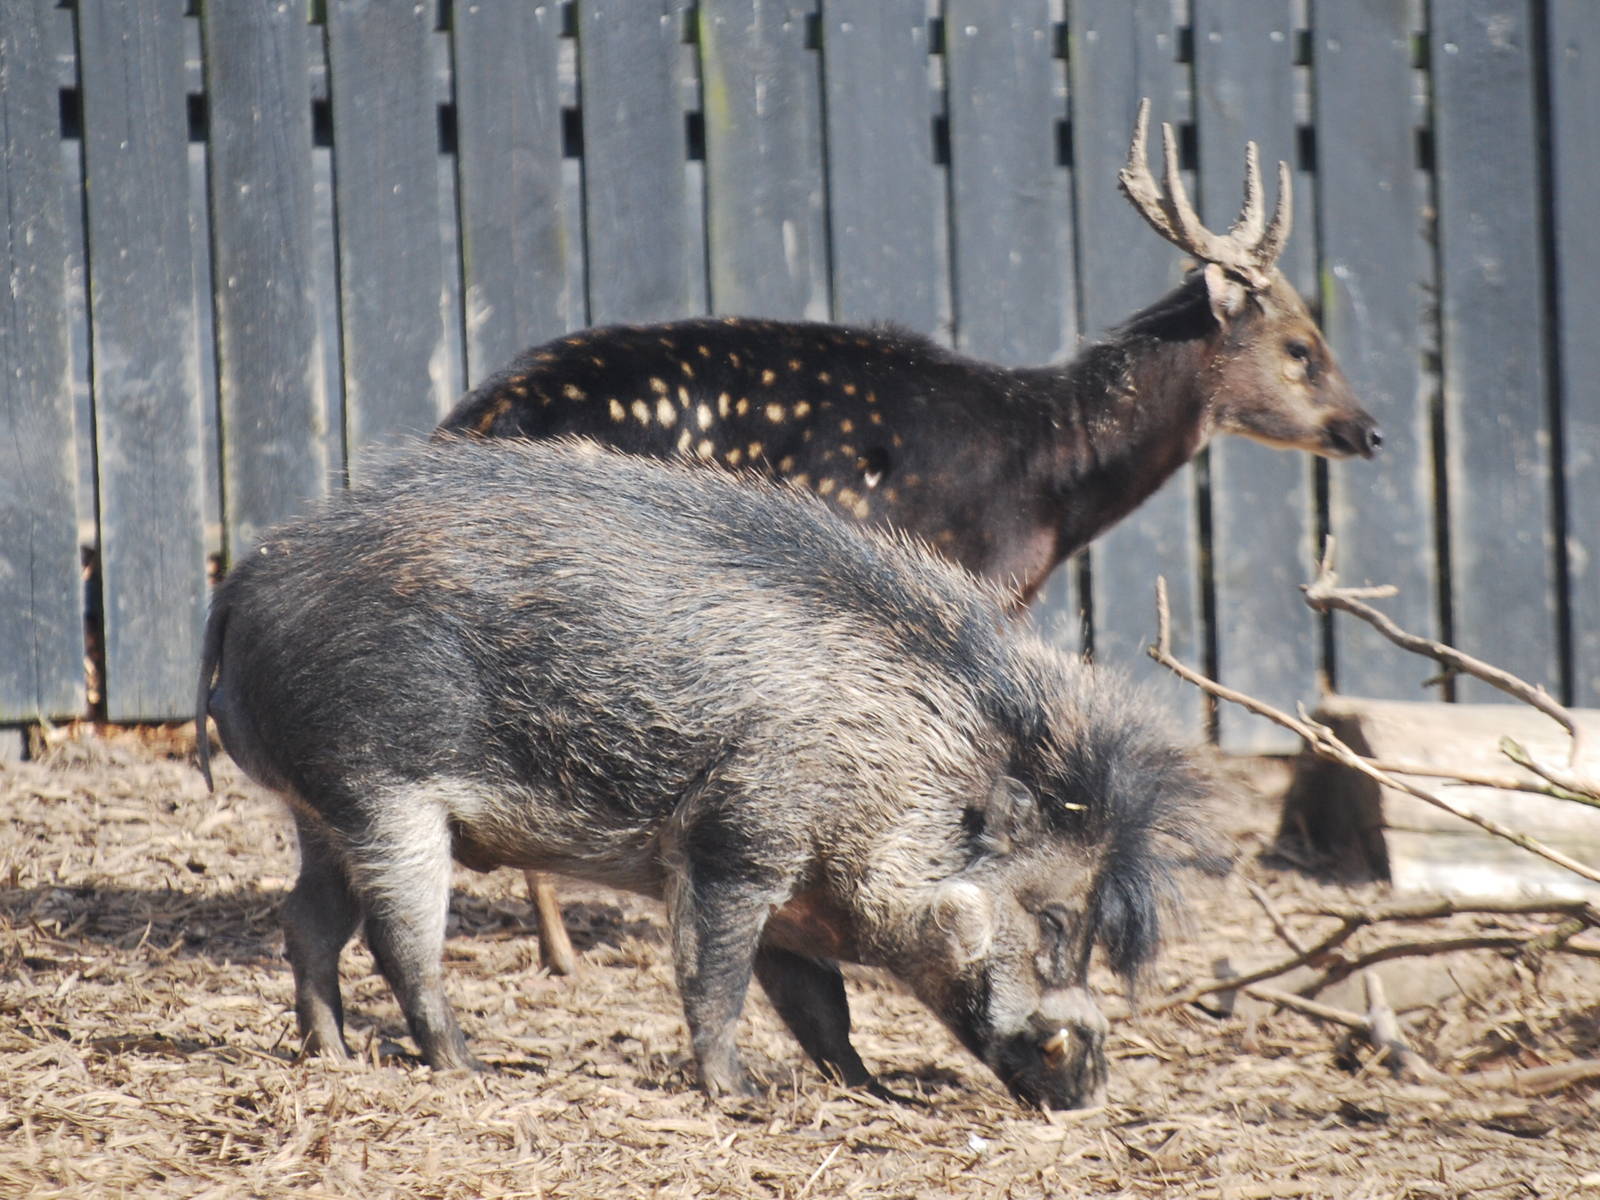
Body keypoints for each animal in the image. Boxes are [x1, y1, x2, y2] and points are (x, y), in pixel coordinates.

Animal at [196, 436, 1220, 1108]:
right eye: (1055, 918)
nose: (1091, 1095)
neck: (900, 768)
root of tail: (245, 580)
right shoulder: (740, 842)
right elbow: (715, 980)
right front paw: (742, 1097)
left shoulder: (801, 900)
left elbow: (823, 1009)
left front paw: (875, 1095)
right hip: (386, 795)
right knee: (400, 945)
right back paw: (471, 1069)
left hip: (320, 812)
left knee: (306, 923)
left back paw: (332, 1058)